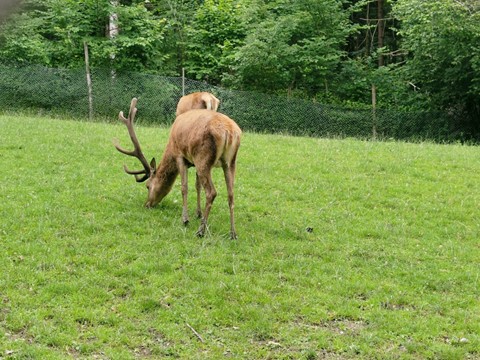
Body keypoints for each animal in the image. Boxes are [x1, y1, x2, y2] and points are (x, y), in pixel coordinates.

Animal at [114, 98, 242, 239]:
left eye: (148, 186)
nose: (147, 204)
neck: (170, 148)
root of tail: (229, 132)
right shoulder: (193, 162)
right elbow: (197, 186)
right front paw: (198, 213)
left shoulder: (180, 156)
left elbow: (184, 187)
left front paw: (185, 219)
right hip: (230, 162)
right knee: (231, 194)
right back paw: (233, 233)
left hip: (203, 158)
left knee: (211, 192)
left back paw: (201, 231)